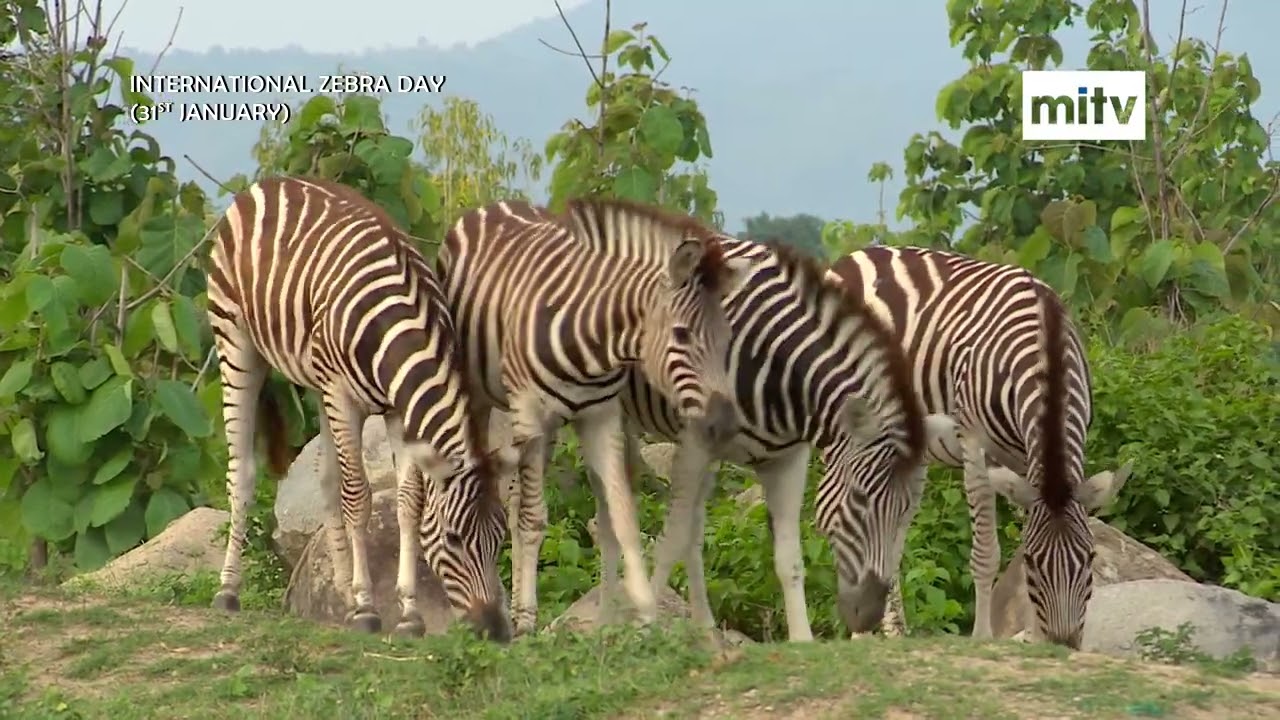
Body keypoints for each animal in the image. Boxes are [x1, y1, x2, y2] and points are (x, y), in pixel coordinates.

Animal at [206, 176, 512, 641]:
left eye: (500, 539)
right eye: (455, 539)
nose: (495, 631)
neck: (397, 332)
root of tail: (269, 183)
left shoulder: (399, 411)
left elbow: (407, 504)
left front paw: (408, 614)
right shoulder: (344, 397)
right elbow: (359, 497)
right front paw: (368, 608)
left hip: (317, 383)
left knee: (326, 480)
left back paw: (342, 594)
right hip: (236, 343)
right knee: (241, 471)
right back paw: (227, 590)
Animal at [436, 199, 756, 636]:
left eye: (726, 340)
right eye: (682, 335)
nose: (724, 425)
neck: (594, 337)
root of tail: (497, 204)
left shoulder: (600, 417)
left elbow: (623, 516)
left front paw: (645, 607)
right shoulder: (531, 412)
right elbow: (534, 519)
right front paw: (527, 620)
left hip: (548, 428)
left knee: (516, 502)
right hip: (490, 399)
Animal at [557, 236, 961, 640]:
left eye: (907, 510)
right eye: (860, 499)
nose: (868, 618)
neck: (780, 370)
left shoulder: (789, 458)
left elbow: (788, 559)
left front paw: (802, 640)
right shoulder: (696, 441)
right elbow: (672, 540)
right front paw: (646, 627)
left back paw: (701, 630)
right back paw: (608, 620)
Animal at [825, 245, 1131, 648]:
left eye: (1091, 558)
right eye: (1035, 562)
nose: (1063, 645)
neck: (1045, 347)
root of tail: (852, 256)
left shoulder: (1026, 463)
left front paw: (1032, 638)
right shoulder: (974, 445)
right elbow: (987, 553)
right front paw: (983, 636)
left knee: (890, 527)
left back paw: (894, 632)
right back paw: (861, 633)